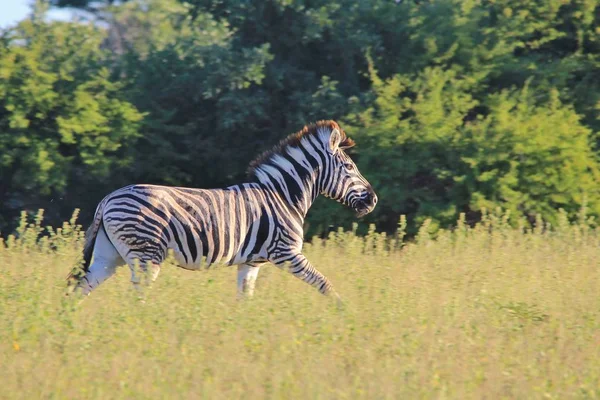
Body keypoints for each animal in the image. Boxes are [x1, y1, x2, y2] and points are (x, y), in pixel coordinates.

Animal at [69, 120, 376, 302]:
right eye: (349, 167)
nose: (373, 200)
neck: (284, 196)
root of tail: (108, 198)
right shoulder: (286, 253)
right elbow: (325, 284)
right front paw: (344, 314)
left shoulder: (252, 262)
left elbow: (244, 299)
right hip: (146, 255)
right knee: (136, 298)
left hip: (109, 256)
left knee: (80, 288)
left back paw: (69, 329)